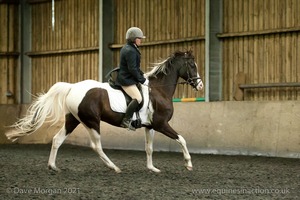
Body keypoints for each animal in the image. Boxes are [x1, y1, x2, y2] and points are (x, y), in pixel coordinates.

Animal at [6, 49, 204, 172]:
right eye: (192, 65)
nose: (200, 85)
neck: (158, 90)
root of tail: (71, 87)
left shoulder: (150, 126)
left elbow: (149, 148)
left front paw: (152, 168)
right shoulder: (161, 124)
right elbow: (182, 139)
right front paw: (188, 164)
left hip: (73, 119)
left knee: (57, 139)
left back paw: (53, 167)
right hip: (91, 121)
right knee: (96, 146)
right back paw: (113, 167)